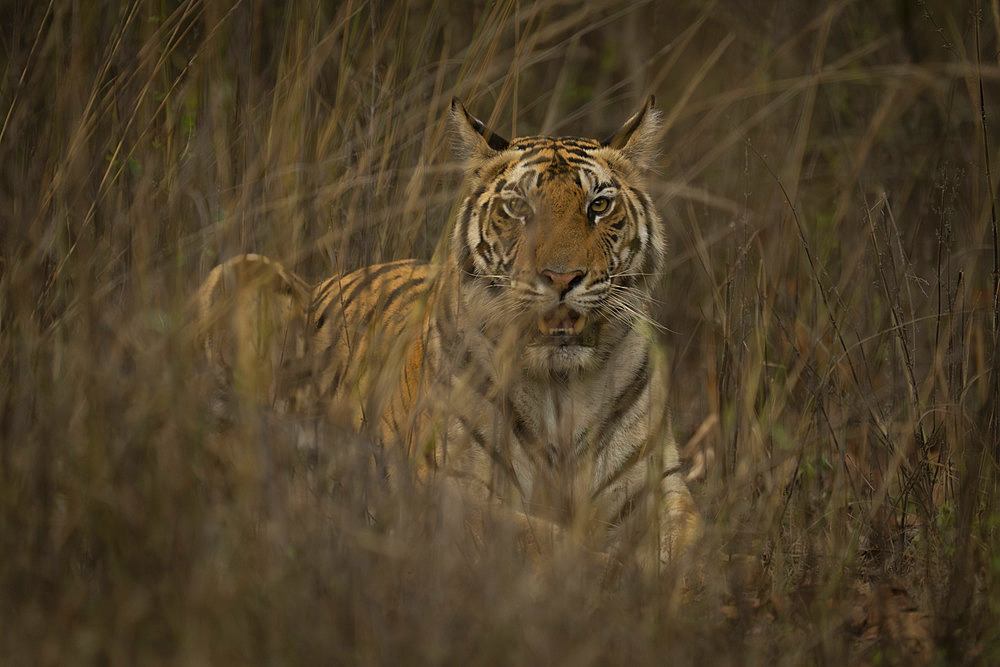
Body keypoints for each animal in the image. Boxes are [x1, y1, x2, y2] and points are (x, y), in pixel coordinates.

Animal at [197, 98, 704, 568]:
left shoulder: (659, 491)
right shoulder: (451, 490)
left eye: (598, 205)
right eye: (519, 208)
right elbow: (548, 543)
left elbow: (690, 551)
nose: (561, 277)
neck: (561, 388)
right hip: (245, 270)